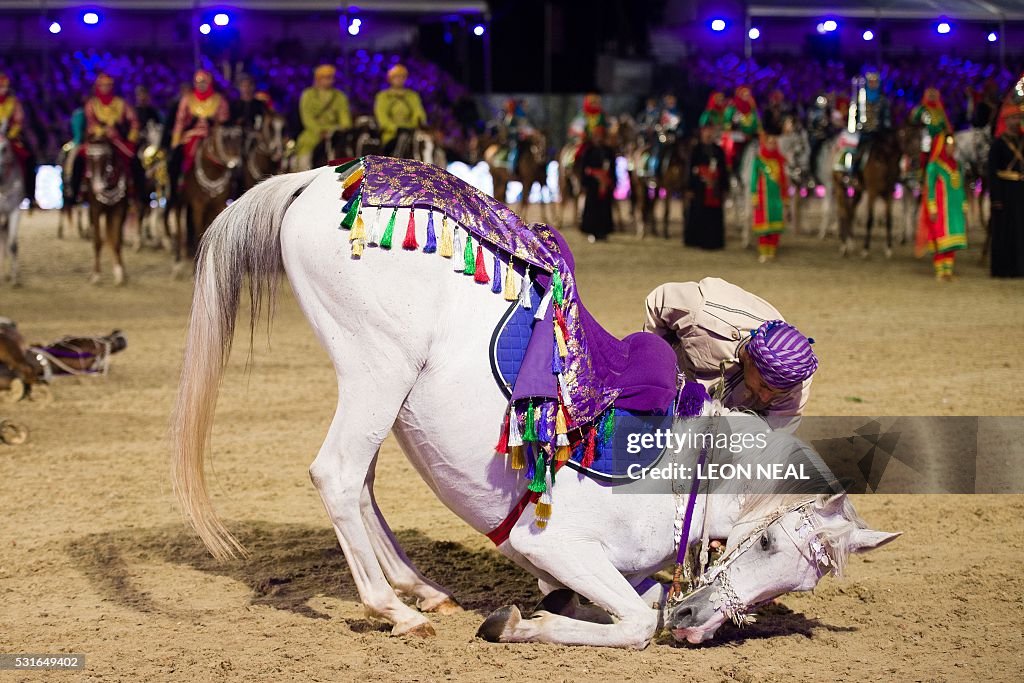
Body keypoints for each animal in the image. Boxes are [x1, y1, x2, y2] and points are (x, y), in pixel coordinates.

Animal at [172, 162, 901, 651]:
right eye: (770, 539)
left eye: (800, 583)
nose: (697, 626)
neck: (686, 475)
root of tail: (320, 178)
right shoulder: (554, 544)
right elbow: (636, 621)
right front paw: (523, 621)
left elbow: (642, 601)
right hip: (379, 370)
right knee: (338, 474)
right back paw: (396, 609)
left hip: (377, 390)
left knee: (364, 485)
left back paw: (422, 590)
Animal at [174, 125, 243, 274]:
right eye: (224, 139)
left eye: (239, 139)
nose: (236, 165)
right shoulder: (198, 206)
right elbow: (198, 232)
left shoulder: (218, 205)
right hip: (178, 201)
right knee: (178, 223)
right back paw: (178, 260)